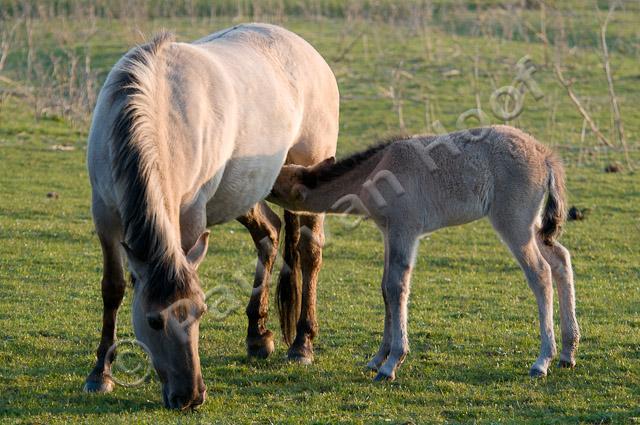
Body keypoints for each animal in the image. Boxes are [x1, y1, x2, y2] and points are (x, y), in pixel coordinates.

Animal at [85, 24, 340, 410]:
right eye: (153, 322)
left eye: (201, 312)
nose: (190, 397)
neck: (153, 106)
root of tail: (306, 50)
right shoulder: (104, 215)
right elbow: (112, 288)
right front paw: (101, 372)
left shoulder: (190, 215)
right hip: (245, 191)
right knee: (270, 233)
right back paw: (257, 335)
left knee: (309, 255)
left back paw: (302, 344)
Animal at [268, 124, 580, 380]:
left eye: (274, 183)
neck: (378, 169)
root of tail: (545, 155)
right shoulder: (389, 233)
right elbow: (385, 288)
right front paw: (377, 358)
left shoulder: (405, 230)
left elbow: (397, 287)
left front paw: (392, 362)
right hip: (533, 225)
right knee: (561, 260)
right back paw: (568, 352)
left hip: (513, 223)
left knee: (540, 273)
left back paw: (543, 360)